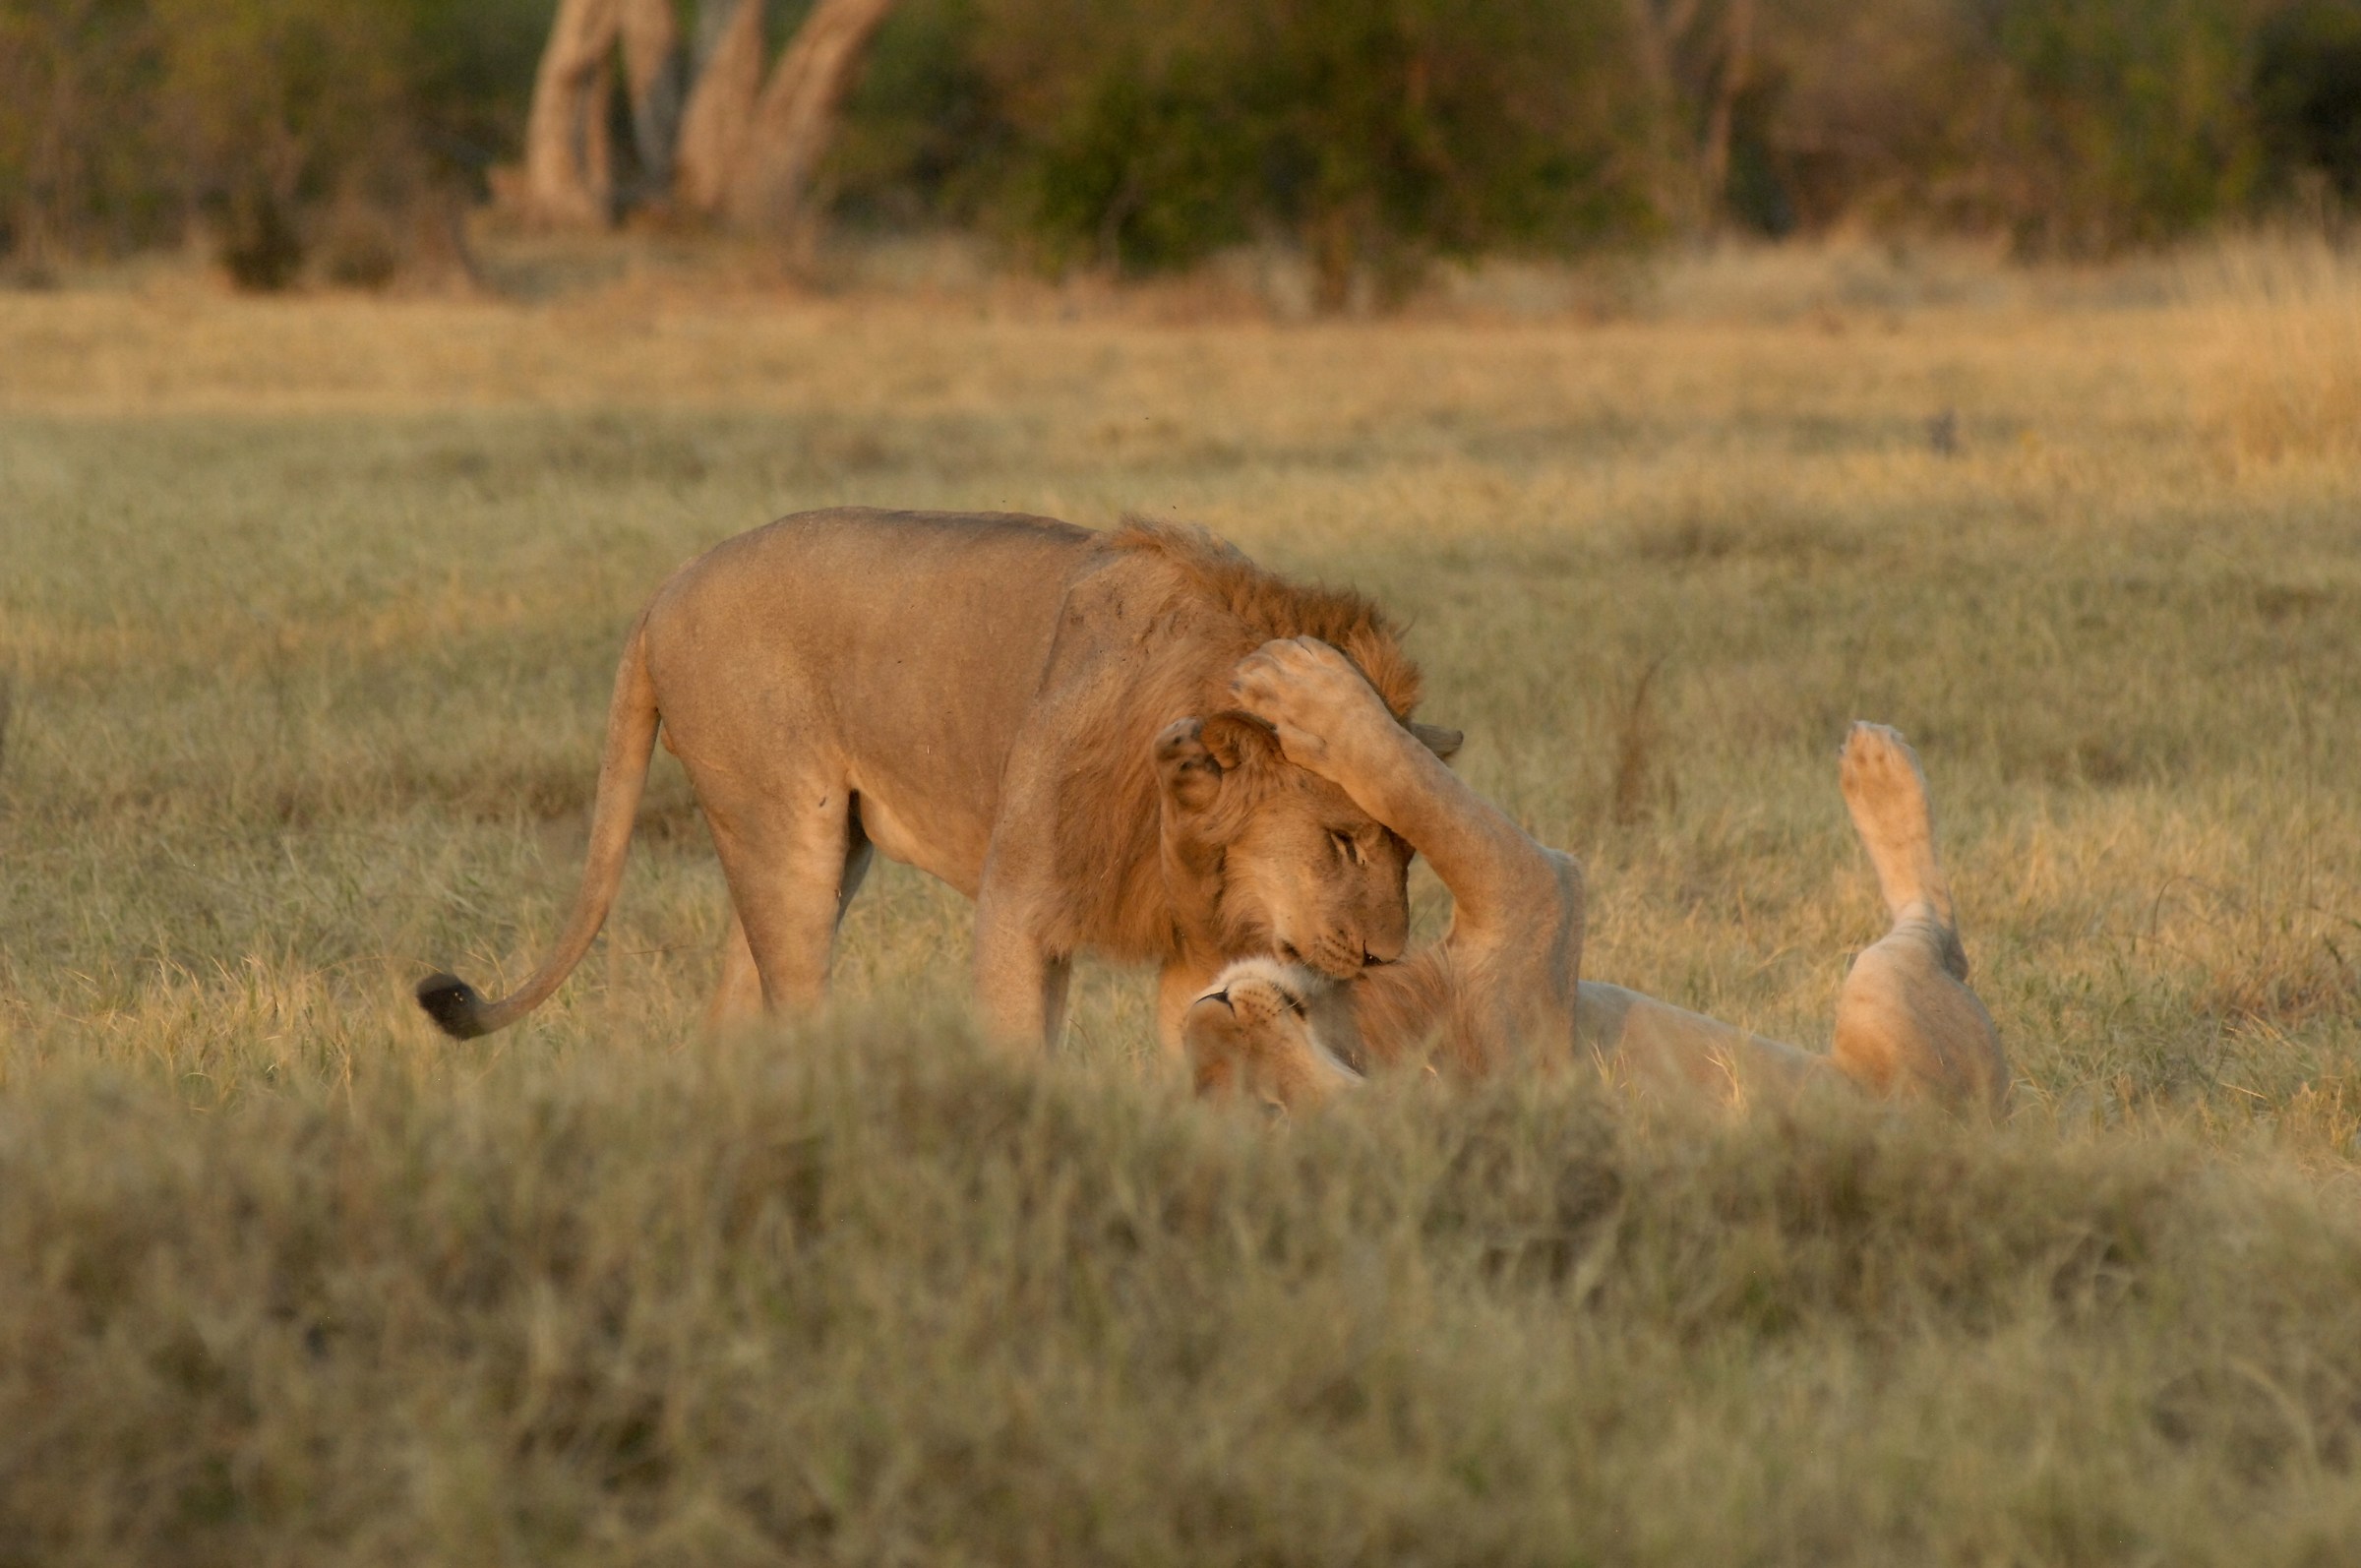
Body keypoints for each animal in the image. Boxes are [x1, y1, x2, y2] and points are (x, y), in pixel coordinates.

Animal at [415, 511, 1462, 1049]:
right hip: (784, 830)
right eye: (1342, 840)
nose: (1385, 959)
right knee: (791, 997)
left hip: (826, 851)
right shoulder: (1023, 906)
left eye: (1408, 851)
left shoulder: (1196, 938)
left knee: (733, 1007)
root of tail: (666, 588)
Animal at [1182, 637, 2009, 1116]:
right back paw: (1879, 769)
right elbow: (1410, 782)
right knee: (1936, 926)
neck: (1357, 1027)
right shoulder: (1537, 892)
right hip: (1889, 997)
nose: (1209, 1011)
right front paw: (1310, 691)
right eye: (1272, 1108)